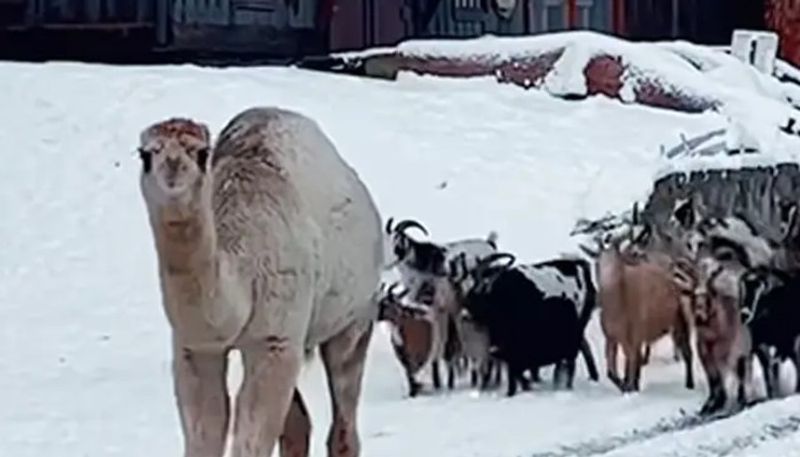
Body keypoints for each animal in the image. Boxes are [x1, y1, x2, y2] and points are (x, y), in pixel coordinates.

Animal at [138, 108, 384, 456]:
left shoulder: (274, 340)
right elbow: (207, 430)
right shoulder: (194, 347)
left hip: (355, 316)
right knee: (298, 422)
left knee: (344, 418)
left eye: (201, 152)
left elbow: (251, 437)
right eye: (146, 153)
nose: (173, 170)